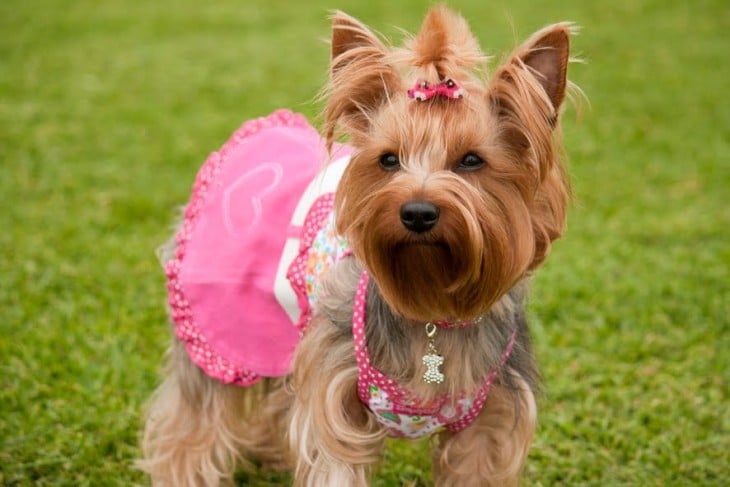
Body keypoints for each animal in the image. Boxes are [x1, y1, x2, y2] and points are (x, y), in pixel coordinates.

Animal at [141, 5, 576, 486]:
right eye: (388, 160)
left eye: (471, 161)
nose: (417, 212)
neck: (432, 310)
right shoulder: (333, 390)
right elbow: (332, 456)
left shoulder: (493, 413)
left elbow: (477, 463)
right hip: (218, 321)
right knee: (192, 420)